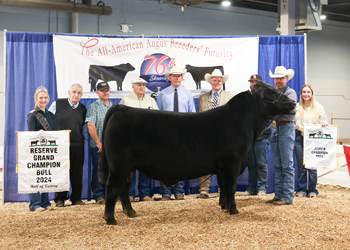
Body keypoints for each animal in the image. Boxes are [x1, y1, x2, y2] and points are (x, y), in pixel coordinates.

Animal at [98, 81, 296, 225]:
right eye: (272, 92)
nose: (293, 102)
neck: (245, 123)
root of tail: (121, 108)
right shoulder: (232, 161)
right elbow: (231, 186)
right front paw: (233, 210)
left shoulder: (222, 166)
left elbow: (224, 187)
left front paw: (224, 207)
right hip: (119, 165)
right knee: (113, 187)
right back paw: (111, 219)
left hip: (128, 167)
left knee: (123, 188)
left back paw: (131, 212)